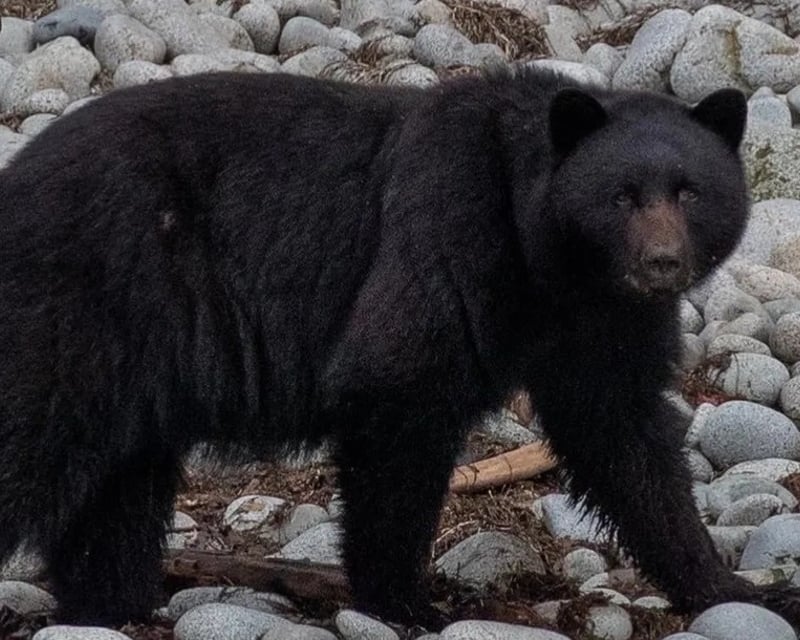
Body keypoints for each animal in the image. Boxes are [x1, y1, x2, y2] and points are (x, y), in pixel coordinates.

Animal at [0, 66, 798, 628]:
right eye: (622, 196)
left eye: (689, 191)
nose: (661, 264)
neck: (548, 263)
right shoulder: (448, 233)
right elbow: (398, 394)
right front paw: (407, 601)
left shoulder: (605, 322)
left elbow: (627, 438)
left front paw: (731, 587)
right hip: (87, 303)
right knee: (36, 440)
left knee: (120, 483)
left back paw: (110, 601)